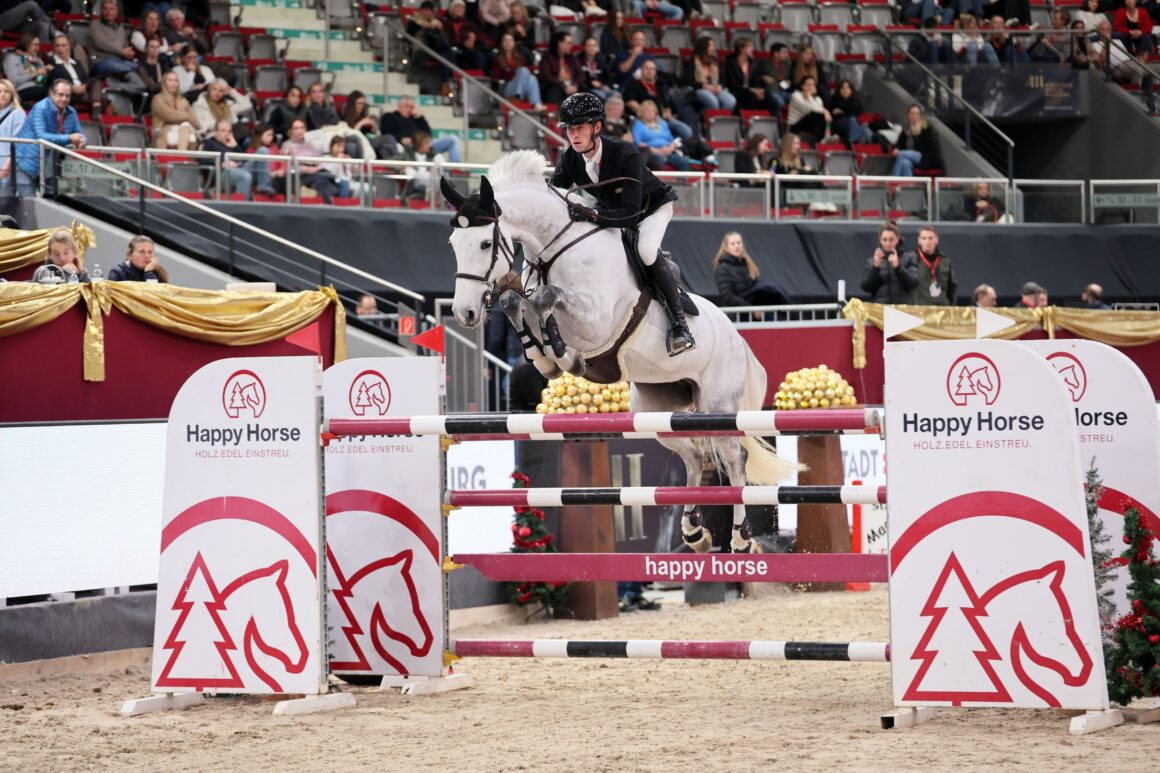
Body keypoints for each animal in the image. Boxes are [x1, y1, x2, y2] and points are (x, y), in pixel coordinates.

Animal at [436, 147, 798, 550]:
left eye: (486, 244)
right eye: (453, 244)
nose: (464, 313)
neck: (555, 249)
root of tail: (737, 337)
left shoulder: (595, 321)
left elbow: (547, 298)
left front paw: (563, 355)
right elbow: (517, 302)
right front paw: (543, 357)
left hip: (718, 404)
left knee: (734, 459)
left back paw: (740, 538)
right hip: (657, 410)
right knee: (691, 456)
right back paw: (694, 531)